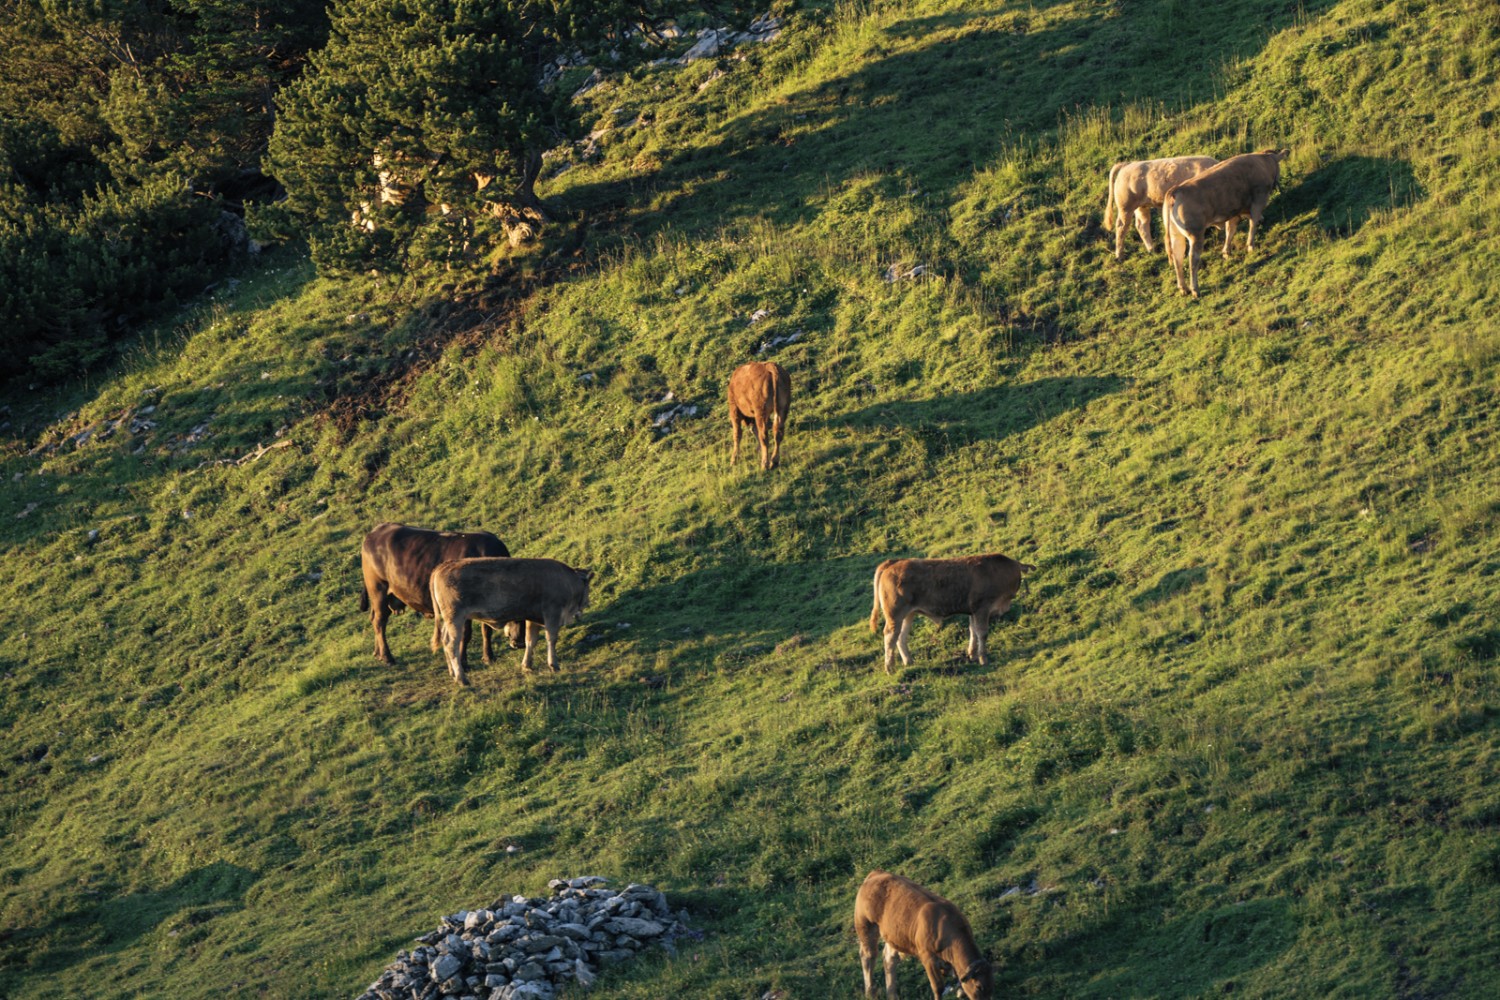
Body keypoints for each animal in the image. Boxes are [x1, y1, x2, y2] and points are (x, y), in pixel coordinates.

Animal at [358, 521, 516, 668]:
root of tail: (377, 530)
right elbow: (465, 634)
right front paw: (463, 662)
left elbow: (486, 631)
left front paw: (489, 657)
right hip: (379, 591)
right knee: (379, 622)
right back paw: (387, 657)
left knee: (375, 619)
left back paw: (377, 653)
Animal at [429, 560, 591, 683]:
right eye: (588, 587)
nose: (587, 603)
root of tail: (443, 566)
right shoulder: (552, 613)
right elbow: (551, 639)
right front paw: (554, 665)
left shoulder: (533, 619)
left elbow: (531, 640)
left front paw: (527, 665)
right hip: (455, 618)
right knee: (451, 645)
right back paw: (462, 678)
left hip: (449, 621)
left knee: (444, 640)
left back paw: (452, 673)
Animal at [858, 869, 996, 1000]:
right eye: (979, 986)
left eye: (991, 985)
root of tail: (876, 873)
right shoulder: (927, 957)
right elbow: (938, 987)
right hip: (865, 926)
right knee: (868, 956)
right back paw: (870, 992)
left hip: (894, 935)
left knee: (889, 958)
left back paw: (892, 995)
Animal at [870, 551, 1032, 677]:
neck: (995, 571)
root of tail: (894, 562)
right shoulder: (982, 609)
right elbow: (982, 633)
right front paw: (983, 658)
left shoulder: (972, 611)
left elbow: (973, 631)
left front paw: (972, 654)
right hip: (895, 616)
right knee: (890, 637)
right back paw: (890, 668)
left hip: (908, 615)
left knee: (901, 637)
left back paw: (908, 661)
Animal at [1164, 147, 1296, 296]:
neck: (1264, 162)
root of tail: (1176, 189)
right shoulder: (1258, 199)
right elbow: (1253, 223)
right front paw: (1250, 245)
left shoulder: (1234, 211)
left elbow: (1230, 230)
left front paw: (1226, 251)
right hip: (1196, 234)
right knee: (1193, 259)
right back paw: (1195, 289)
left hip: (1176, 235)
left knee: (1178, 258)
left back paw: (1183, 288)